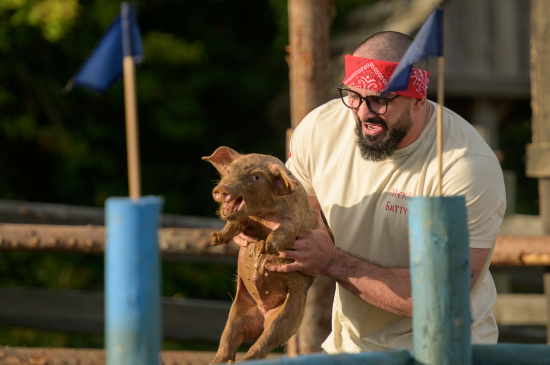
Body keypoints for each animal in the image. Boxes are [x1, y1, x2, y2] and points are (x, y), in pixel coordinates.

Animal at [202, 146, 314, 362]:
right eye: (230, 171)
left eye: (256, 177)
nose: (222, 189)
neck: (262, 217)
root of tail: (262, 316)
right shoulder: (245, 221)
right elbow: (233, 225)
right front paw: (215, 238)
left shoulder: (292, 222)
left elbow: (283, 233)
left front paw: (265, 248)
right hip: (238, 311)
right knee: (227, 344)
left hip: (287, 316)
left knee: (261, 346)